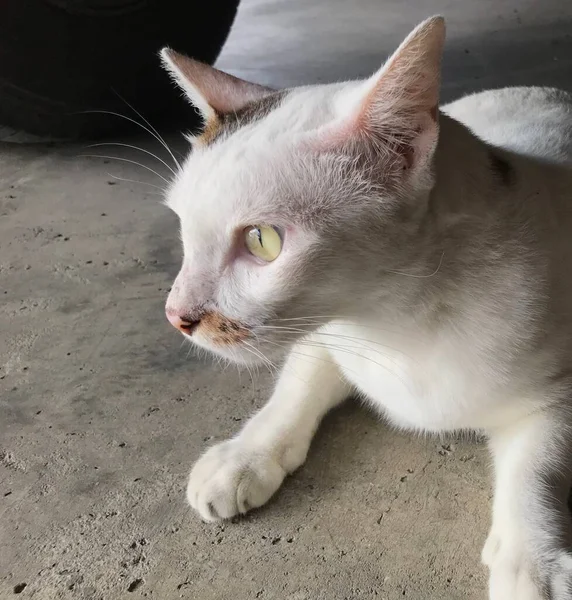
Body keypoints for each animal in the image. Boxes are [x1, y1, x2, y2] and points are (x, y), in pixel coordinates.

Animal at [160, 16, 572, 600]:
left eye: (263, 241)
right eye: (182, 227)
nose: (176, 316)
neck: (394, 321)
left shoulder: (557, 389)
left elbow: (537, 466)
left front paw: (530, 563)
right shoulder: (325, 334)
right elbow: (296, 388)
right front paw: (247, 454)